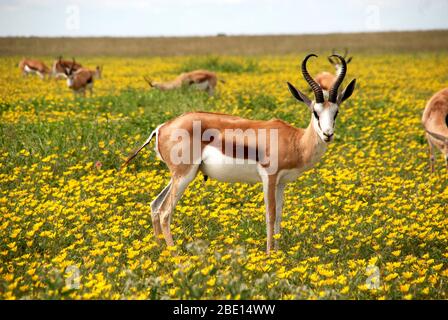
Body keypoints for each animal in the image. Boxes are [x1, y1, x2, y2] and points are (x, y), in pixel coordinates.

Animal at [121, 55, 356, 255]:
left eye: (336, 112)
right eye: (315, 112)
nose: (328, 134)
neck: (295, 140)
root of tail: (161, 127)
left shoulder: (281, 183)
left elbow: (279, 216)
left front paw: (278, 255)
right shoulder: (269, 178)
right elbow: (270, 215)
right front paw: (269, 255)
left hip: (181, 175)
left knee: (154, 206)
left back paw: (160, 251)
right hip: (184, 175)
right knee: (165, 212)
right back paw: (175, 256)